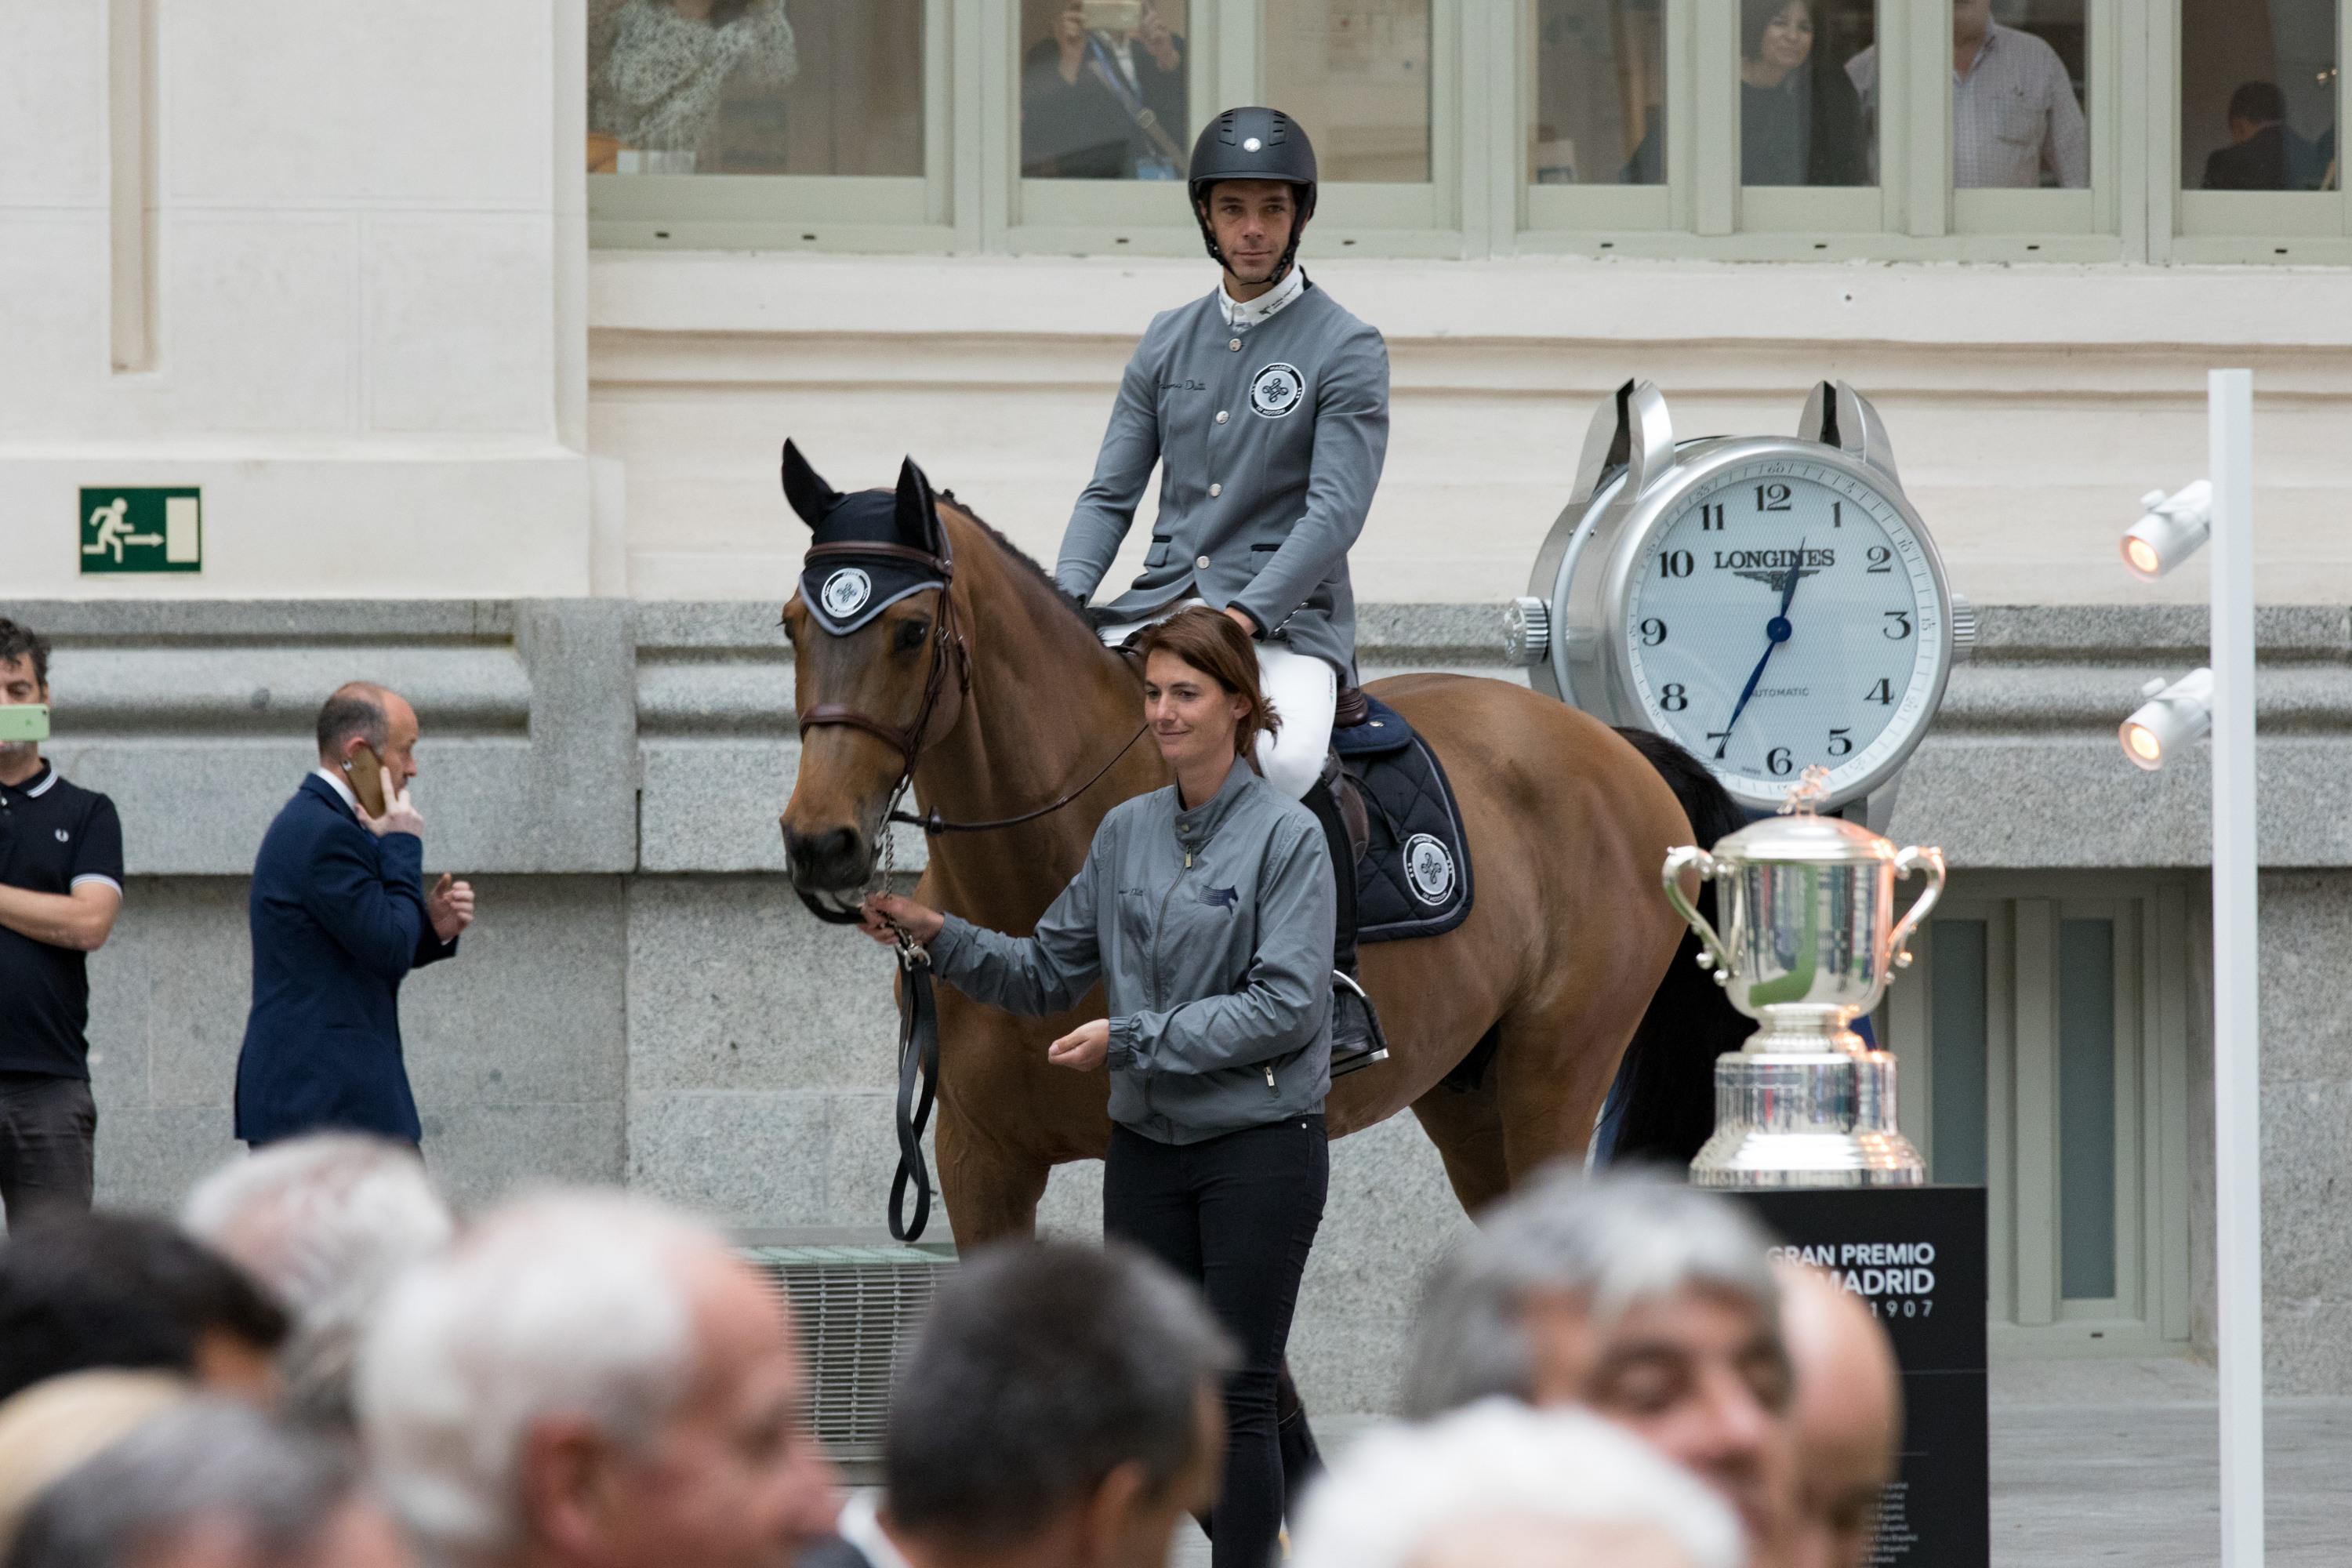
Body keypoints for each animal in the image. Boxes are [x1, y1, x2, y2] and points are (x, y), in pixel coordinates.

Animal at [781, 441, 1740, 1250]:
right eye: (791, 624)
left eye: (910, 633)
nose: (819, 844)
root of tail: (1614, 744)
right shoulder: (978, 1160)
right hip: (1470, 1096)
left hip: (1556, 1076)